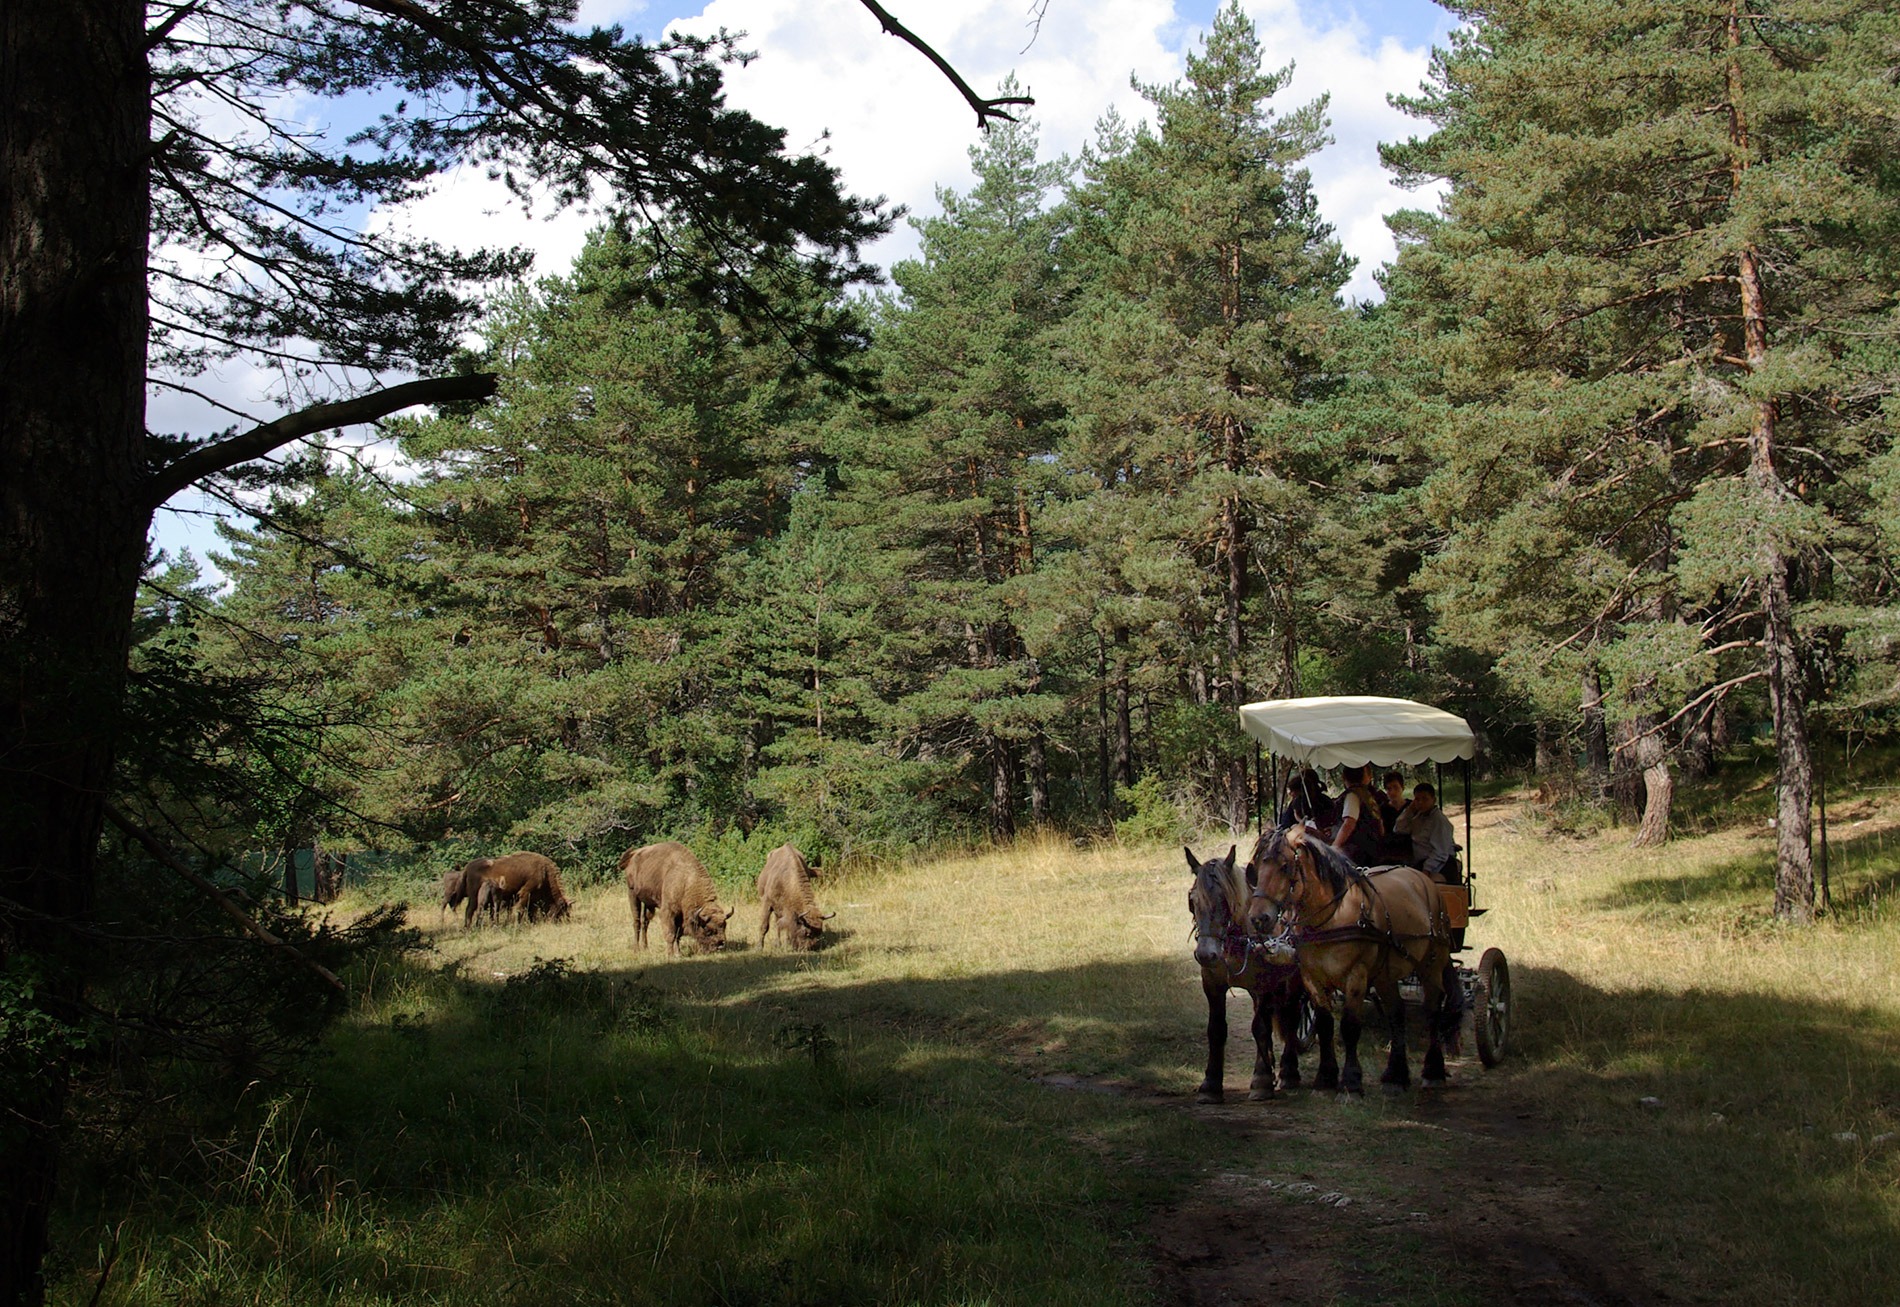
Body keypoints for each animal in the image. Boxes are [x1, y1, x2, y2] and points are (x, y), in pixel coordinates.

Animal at [1185, 847, 1322, 1101]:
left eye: (1226, 900)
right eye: (1192, 900)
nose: (1206, 954)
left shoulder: (1264, 985)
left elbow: (1260, 1028)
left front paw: (1261, 1080)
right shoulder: (1212, 984)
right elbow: (1216, 1029)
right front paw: (1210, 1084)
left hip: (1294, 980)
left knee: (1292, 1016)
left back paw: (1288, 1071)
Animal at [1238, 828, 1459, 1094]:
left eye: (1284, 866)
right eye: (1257, 867)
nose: (1258, 918)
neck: (1331, 917)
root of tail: (1423, 879)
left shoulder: (1356, 976)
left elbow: (1350, 1026)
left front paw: (1351, 1081)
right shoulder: (1312, 978)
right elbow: (1324, 1023)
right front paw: (1325, 1078)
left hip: (1431, 965)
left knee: (1432, 1010)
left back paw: (1433, 1071)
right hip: (1385, 976)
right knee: (1396, 1013)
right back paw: (1395, 1076)